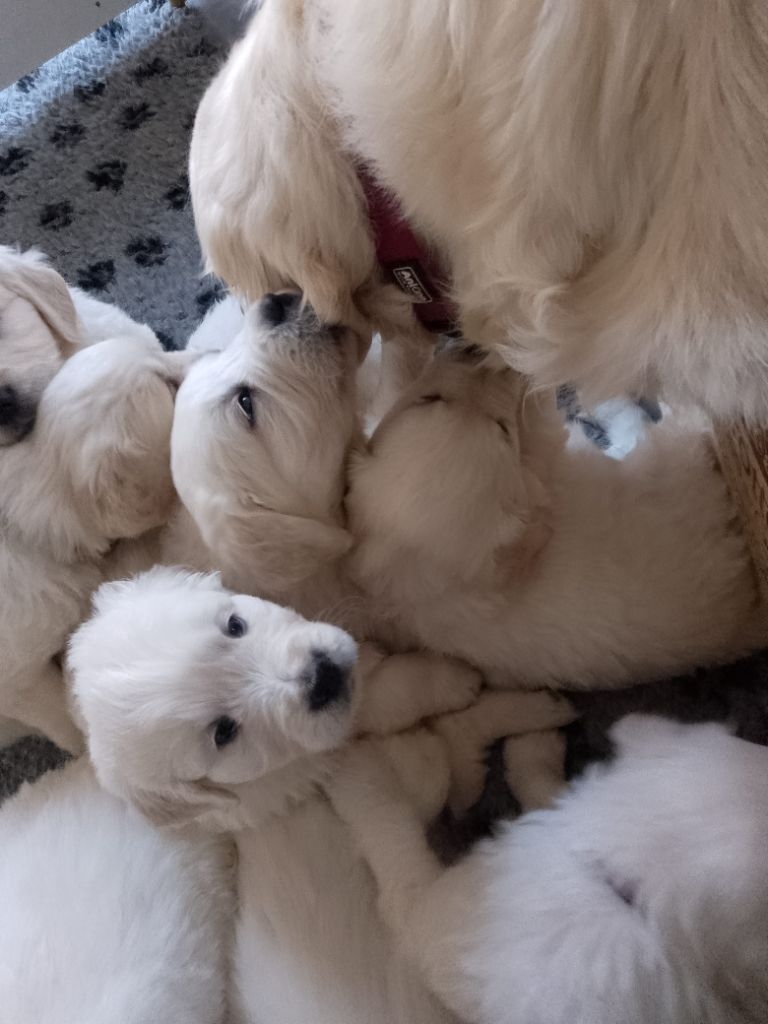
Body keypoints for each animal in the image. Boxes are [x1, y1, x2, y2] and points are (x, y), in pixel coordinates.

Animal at [329, 716, 768, 1024]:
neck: (628, 893)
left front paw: (359, 769)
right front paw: (535, 747)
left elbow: (391, 829)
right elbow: (549, 790)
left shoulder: (432, 923)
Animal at [348, 348, 765, 692]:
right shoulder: (540, 471)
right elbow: (543, 419)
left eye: (429, 399)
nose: (473, 351)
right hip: (678, 458)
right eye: (503, 429)